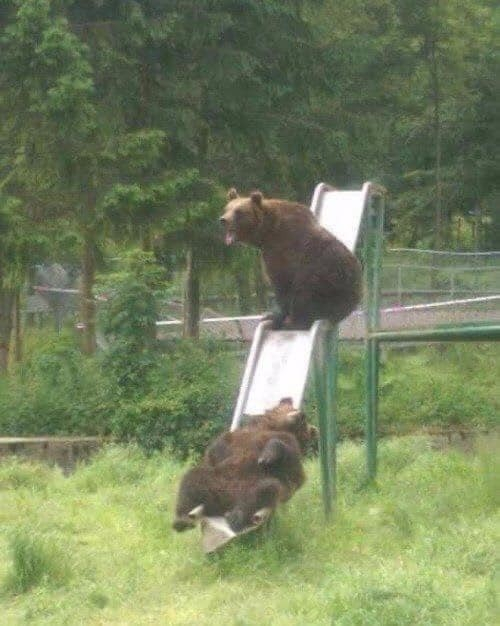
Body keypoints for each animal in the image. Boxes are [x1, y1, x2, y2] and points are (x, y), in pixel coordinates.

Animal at [174, 400, 318, 532]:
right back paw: (181, 520)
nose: (302, 415)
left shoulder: (290, 446)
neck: (272, 427)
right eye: (291, 408)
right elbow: (217, 450)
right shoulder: (238, 438)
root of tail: (225, 504)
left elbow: (292, 471)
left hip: (252, 486)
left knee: (265, 489)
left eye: (304, 423)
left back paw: (235, 517)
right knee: (192, 479)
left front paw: (267, 456)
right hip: (215, 482)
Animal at [221, 188, 362, 330]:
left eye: (238, 211)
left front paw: (275, 318)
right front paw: (270, 316)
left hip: (329, 283)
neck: (266, 232)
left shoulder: (281, 251)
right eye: (227, 208)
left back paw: (292, 322)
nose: (223, 220)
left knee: (305, 294)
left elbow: (282, 284)